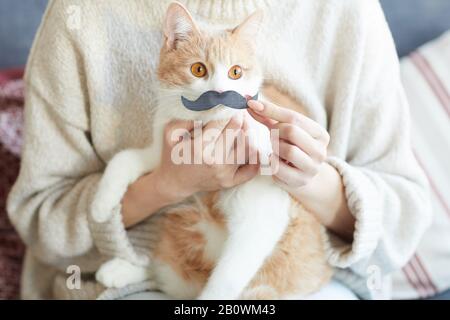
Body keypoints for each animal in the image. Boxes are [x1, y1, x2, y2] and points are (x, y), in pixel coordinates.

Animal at [90, 1, 330, 300]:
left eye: (236, 72)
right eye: (198, 69)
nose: (219, 92)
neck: (205, 126)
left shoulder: (261, 215)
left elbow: (224, 281)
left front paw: (262, 137)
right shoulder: (160, 152)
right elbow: (123, 159)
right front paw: (101, 205)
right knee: (165, 271)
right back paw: (122, 269)